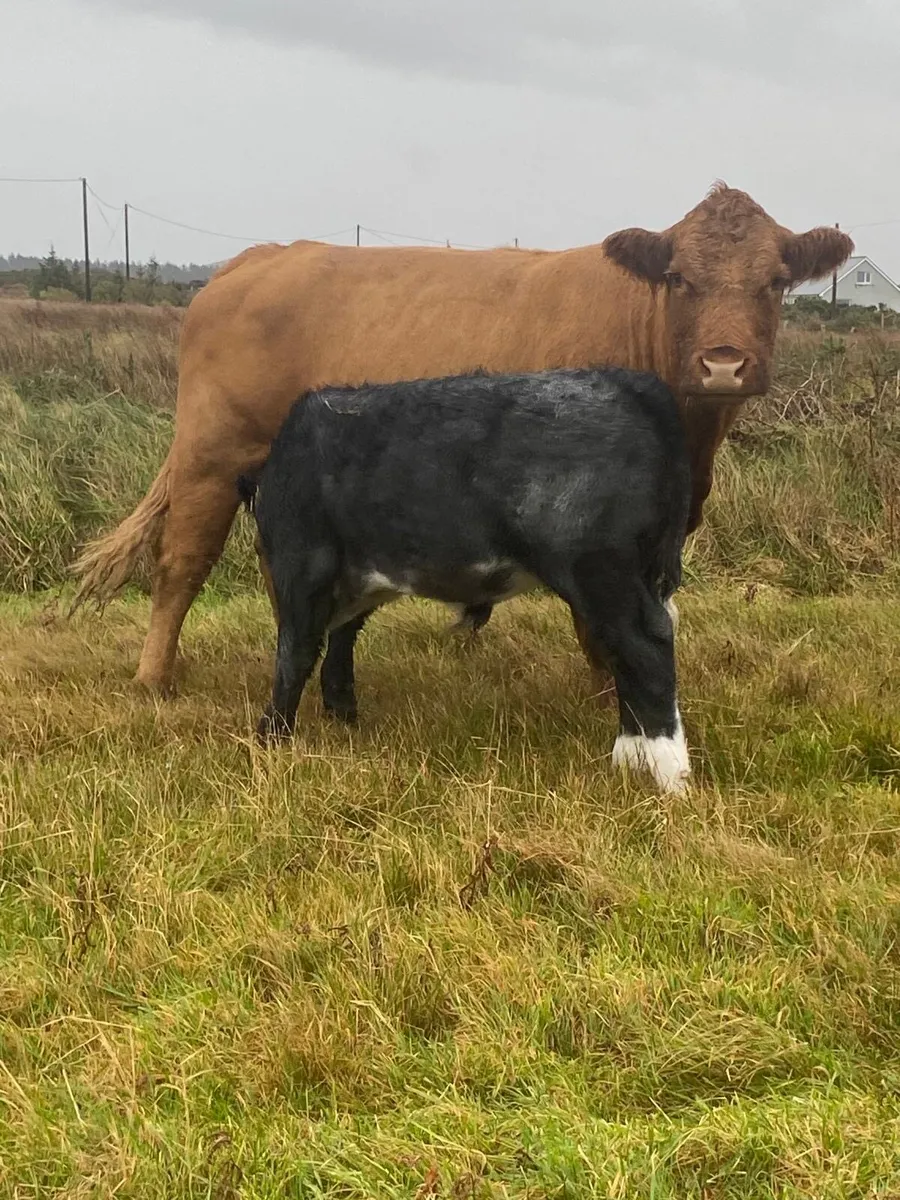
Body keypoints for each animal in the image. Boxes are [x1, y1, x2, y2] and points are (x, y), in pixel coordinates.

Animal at [70, 183, 852, 696]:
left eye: (776, 280)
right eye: (681, 278)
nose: (723, 363)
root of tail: (264, 257)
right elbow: (597, 623)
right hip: (211, 454)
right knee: (181, 566)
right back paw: (154, 681)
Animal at [238, 365, 693, 795]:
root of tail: (628, 383)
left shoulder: (304, 565)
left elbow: (294, 654)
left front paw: (269, 743)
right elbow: (339, 645)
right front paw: (341, 719)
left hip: (598, 568)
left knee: (645, 644)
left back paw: (670, 776)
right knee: (626, 652)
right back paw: (631, 757)